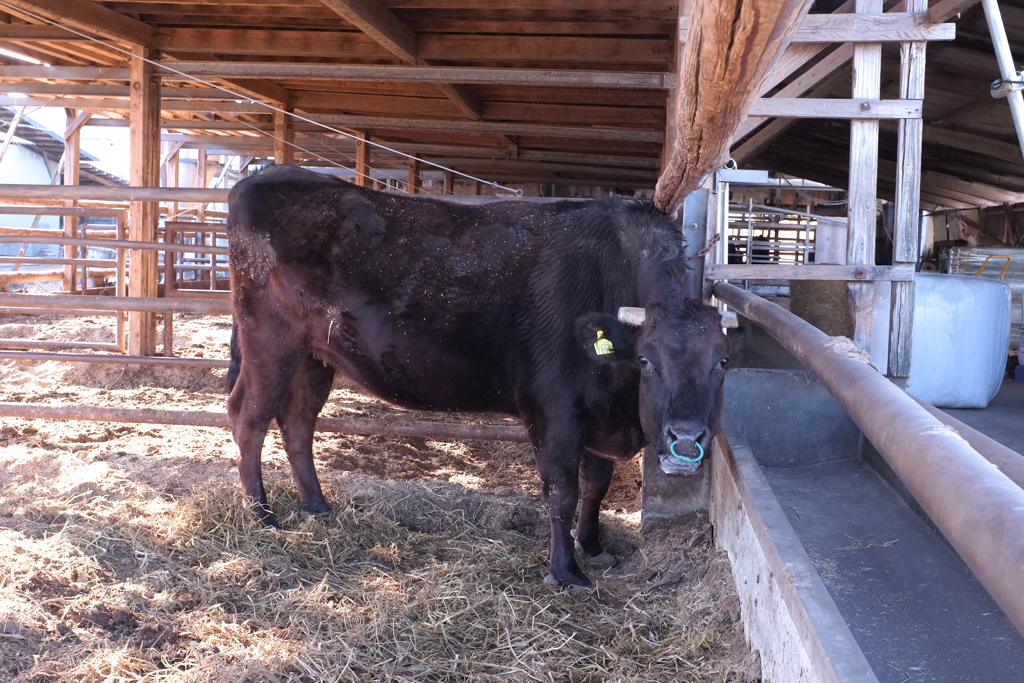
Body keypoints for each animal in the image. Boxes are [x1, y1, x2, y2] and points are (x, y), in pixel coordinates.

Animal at [228, 165, 733, 589]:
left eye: (722, 363)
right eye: (646, 360)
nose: (686, 440)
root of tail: (269, 173)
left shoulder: (597, 411)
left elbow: (597, 484)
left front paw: (592, 546)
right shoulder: (555, 412)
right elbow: (562, 492)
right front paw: (566, 572)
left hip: (316, 356)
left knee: (298, 422)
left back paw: (316, 506)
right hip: (270, 342)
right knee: (248, 418)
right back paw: (262, 515)